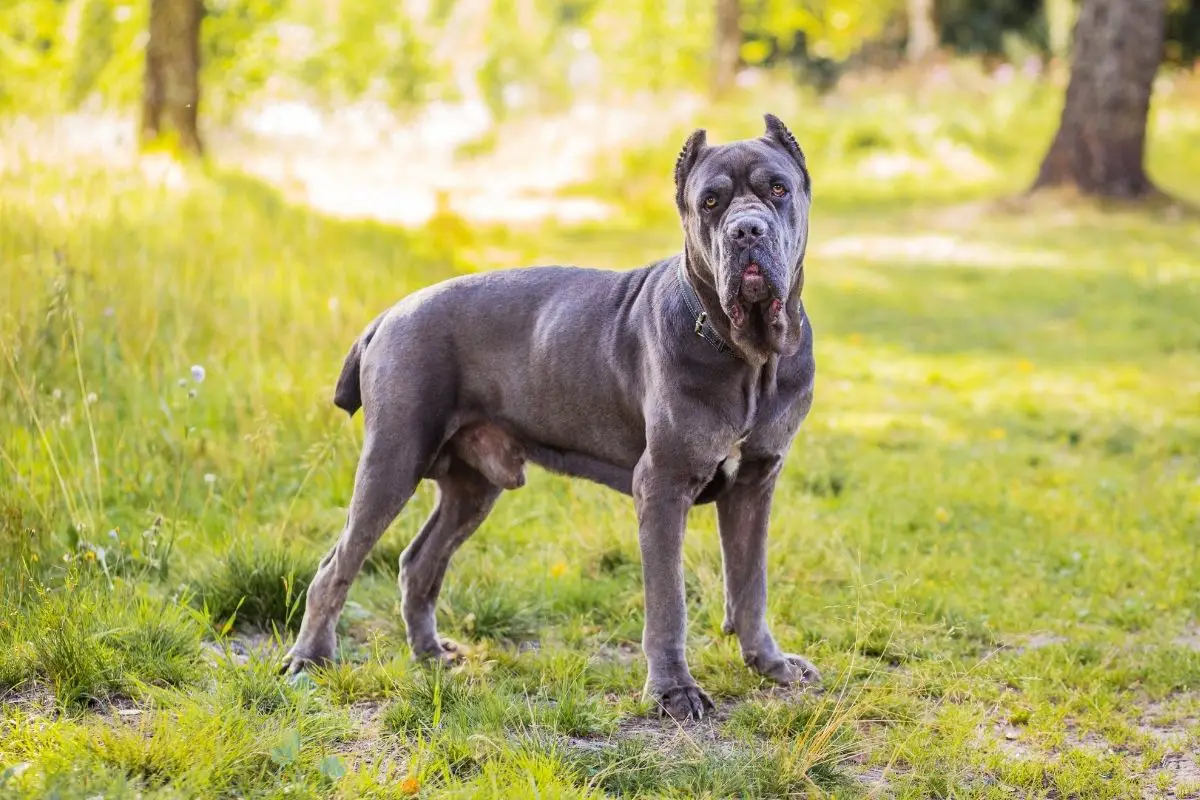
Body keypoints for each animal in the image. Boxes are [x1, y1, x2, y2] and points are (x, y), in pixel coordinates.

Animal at [285, 112, 820, 719]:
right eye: (710, 202)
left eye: (777, 189)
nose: (746, 231)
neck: (748, 354)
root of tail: (389, 314)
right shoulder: (662, 484)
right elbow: (668, 599)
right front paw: (673, 690)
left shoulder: (755, 482)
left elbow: (750, 584)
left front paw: (771, 665)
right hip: (393, 460)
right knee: (336, 566)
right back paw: (309, 659)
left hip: (473, 485)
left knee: (419, 562)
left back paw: (431, 655)